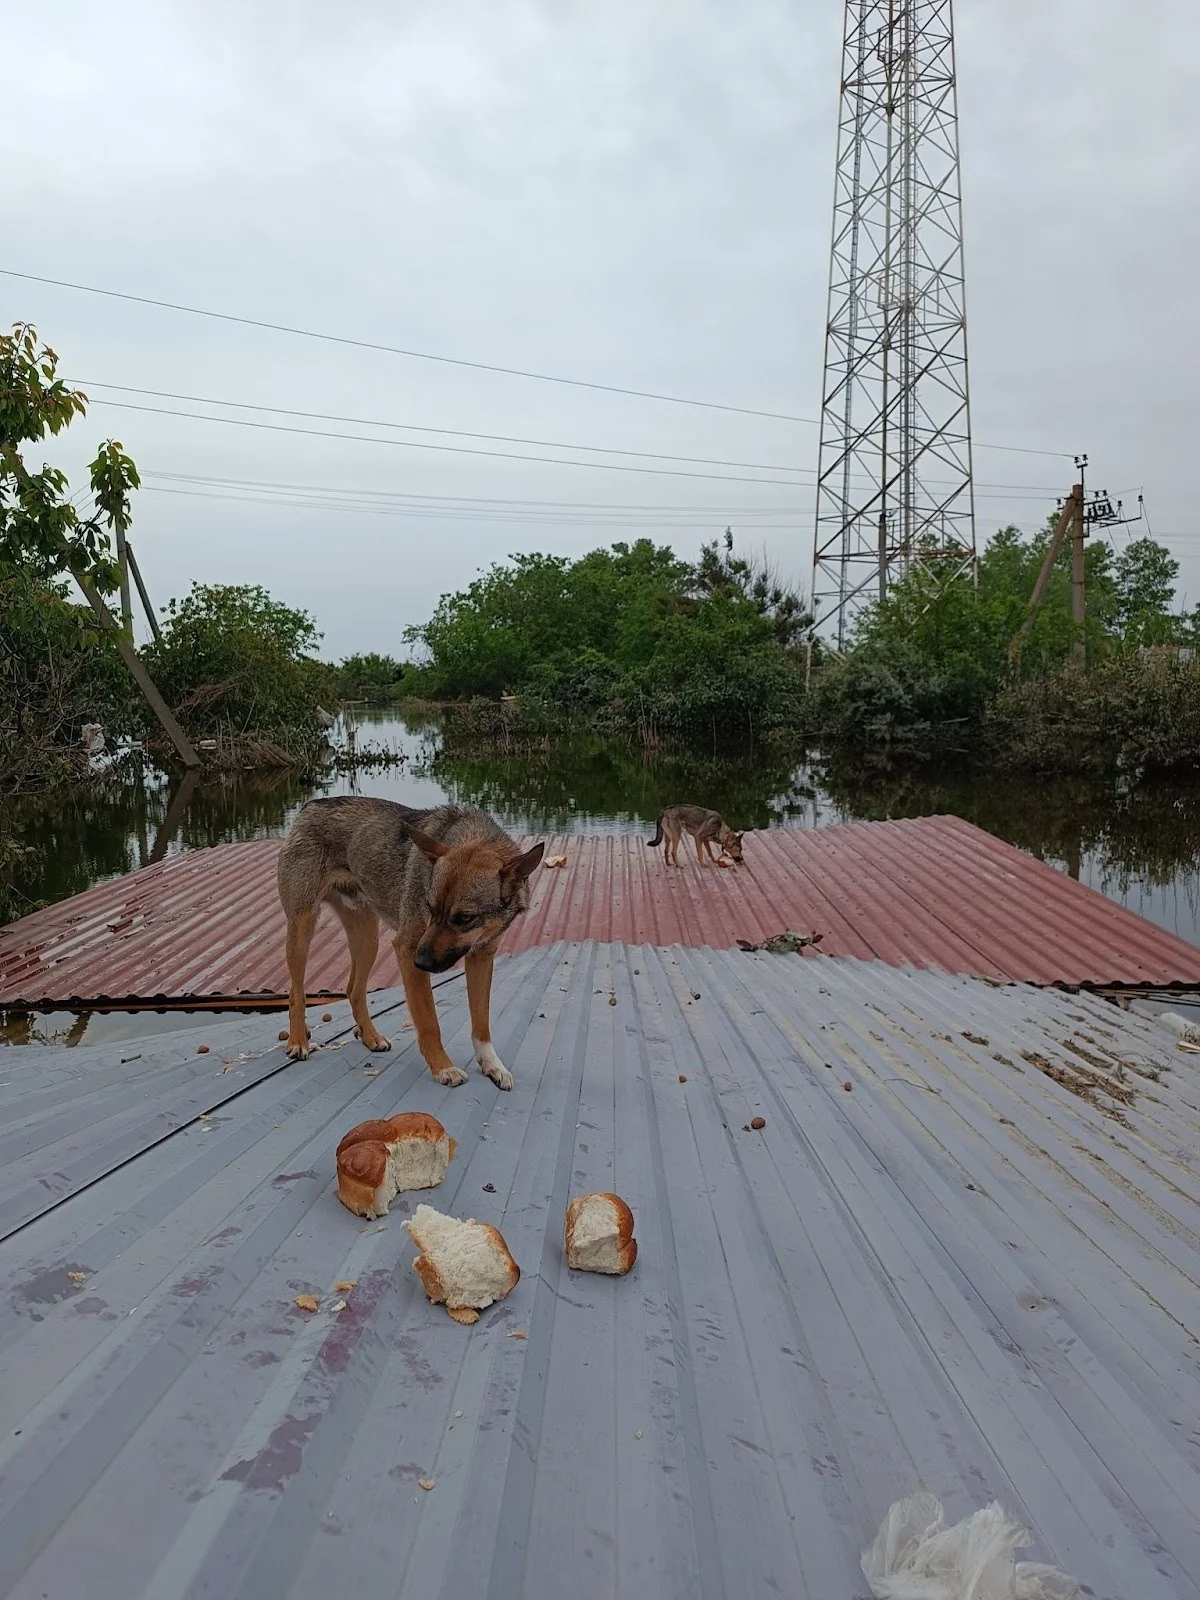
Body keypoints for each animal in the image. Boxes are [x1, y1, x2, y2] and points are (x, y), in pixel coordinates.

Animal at [276, 797, 544, 1089]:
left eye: (465, 918)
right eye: (430, 907)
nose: (420, 961)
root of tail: (310, 805)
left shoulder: (481, 957)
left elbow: (481, 1022)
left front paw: (492, 1065)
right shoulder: (405, 949)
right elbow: (429, 1023)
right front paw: (443, 1067)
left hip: (367, 938)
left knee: (354, 990)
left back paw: (370, 1037)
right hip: (301, 931)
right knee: (296, 993)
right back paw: (298, 1041)